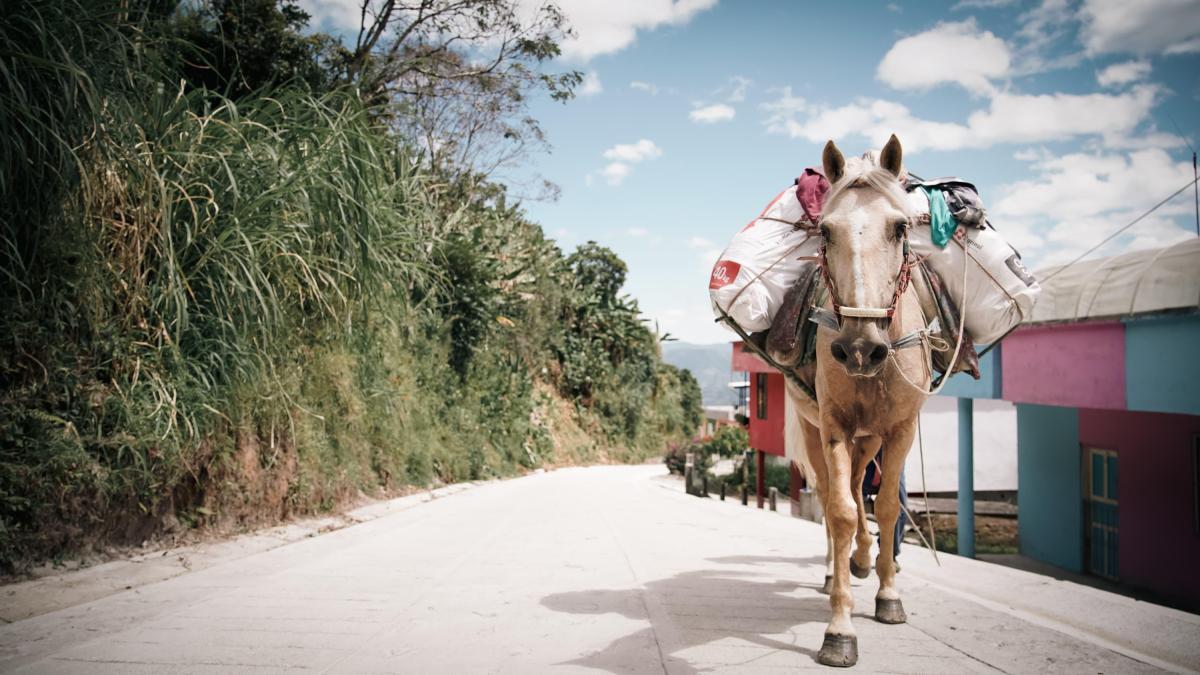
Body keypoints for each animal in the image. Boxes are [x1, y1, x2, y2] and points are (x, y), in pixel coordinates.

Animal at [772, 133, 931, 662]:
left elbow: (886, 509)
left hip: (870, 438)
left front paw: (889, 595)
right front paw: (839, 629)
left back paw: (866, 562)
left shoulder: (899, 429)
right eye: (825, 232)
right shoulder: (834, 426)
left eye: (900, 228)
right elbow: (840, 512)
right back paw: (836, 569)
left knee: (864, 489)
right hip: (815, 430)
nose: (859, 348)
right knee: (831, 496)